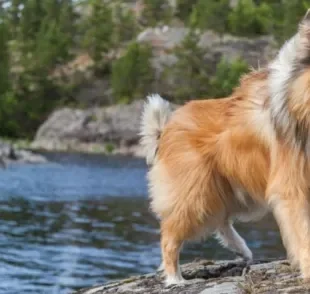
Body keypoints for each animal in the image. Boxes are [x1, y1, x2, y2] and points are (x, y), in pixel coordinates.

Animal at [140, 10, 310, 284]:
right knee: (170, 234)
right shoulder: (292, 186)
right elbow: (303, 233)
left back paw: (242, 249)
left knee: (221, 220)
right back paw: (175, 278)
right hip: (195, 194)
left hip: (236, 191)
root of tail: (165, 127)